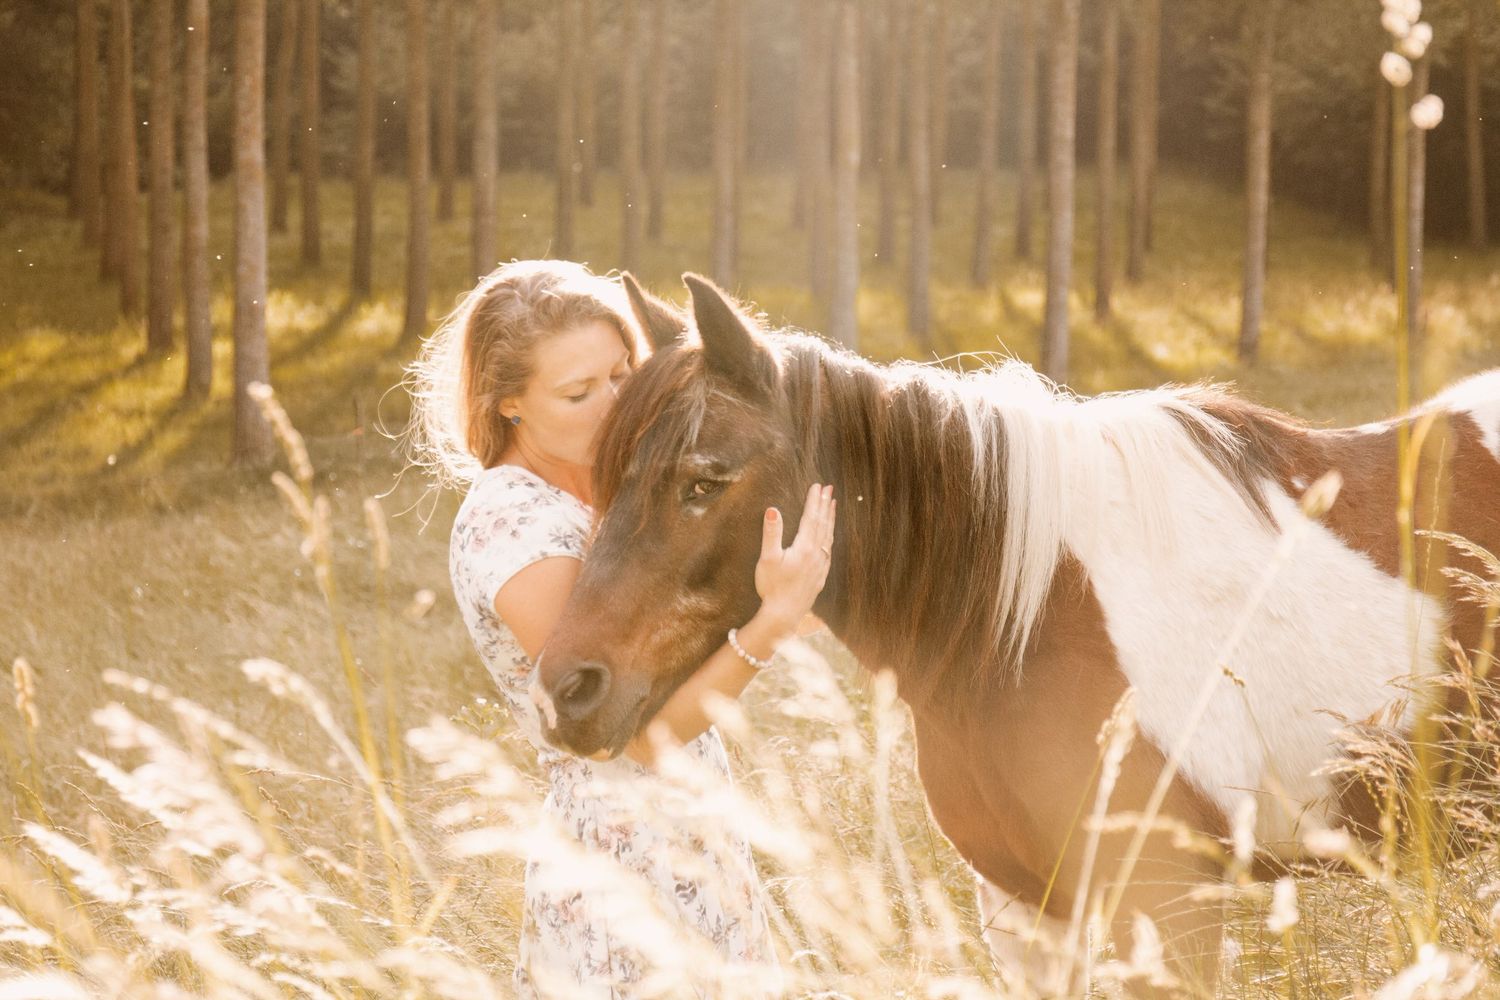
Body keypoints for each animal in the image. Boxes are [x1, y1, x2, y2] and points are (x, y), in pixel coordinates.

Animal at [536, 272, 1500, 991]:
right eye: (602, 478)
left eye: (704, 480)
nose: (567, 690)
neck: (1030, 616)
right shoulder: (1027, 910)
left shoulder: (1164, 907)